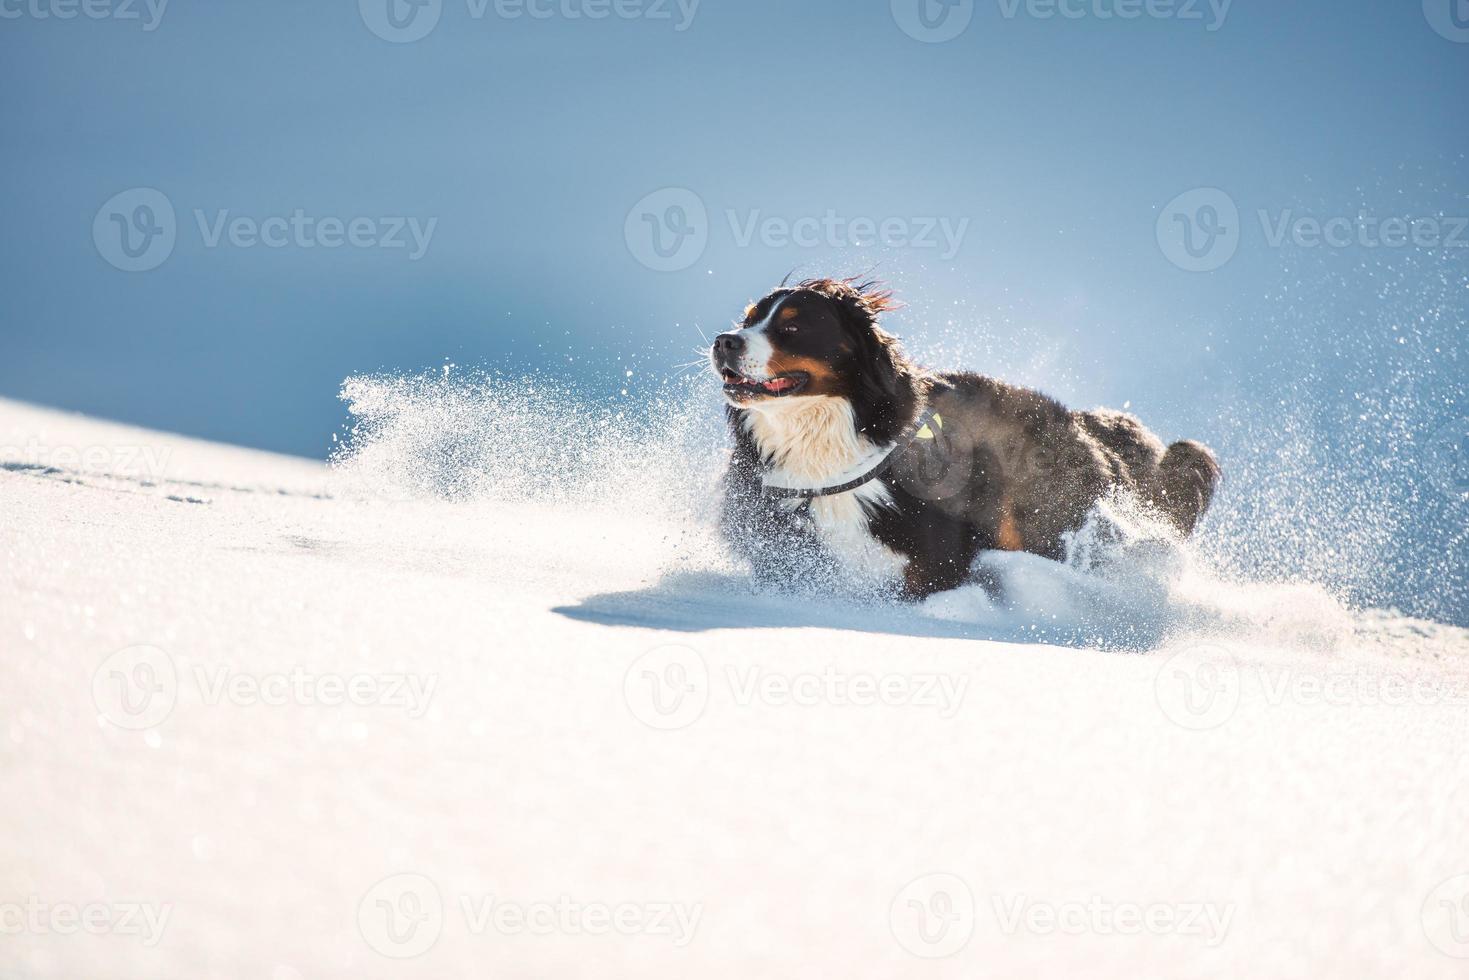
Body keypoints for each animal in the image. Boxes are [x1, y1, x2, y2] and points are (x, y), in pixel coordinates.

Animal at [716, 274, 1222, 599]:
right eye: (747, 319)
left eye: (792, 326)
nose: (724, 341)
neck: (824, 459)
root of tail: (1083, 421)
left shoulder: (934, 565)